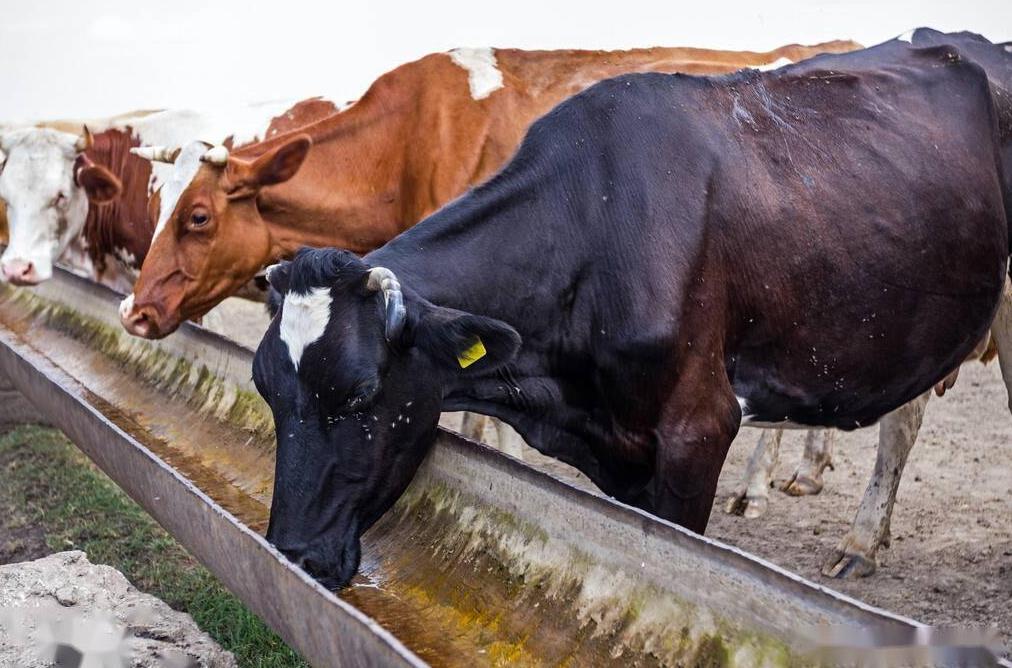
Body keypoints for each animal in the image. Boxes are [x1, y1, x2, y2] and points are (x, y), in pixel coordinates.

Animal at [255, 39, 1011, 587]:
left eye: (361, 394)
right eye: (267, 390)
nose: (292, 553)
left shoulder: (699, 427)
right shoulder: (620, 446)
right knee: (905, 414)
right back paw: (864, 544)